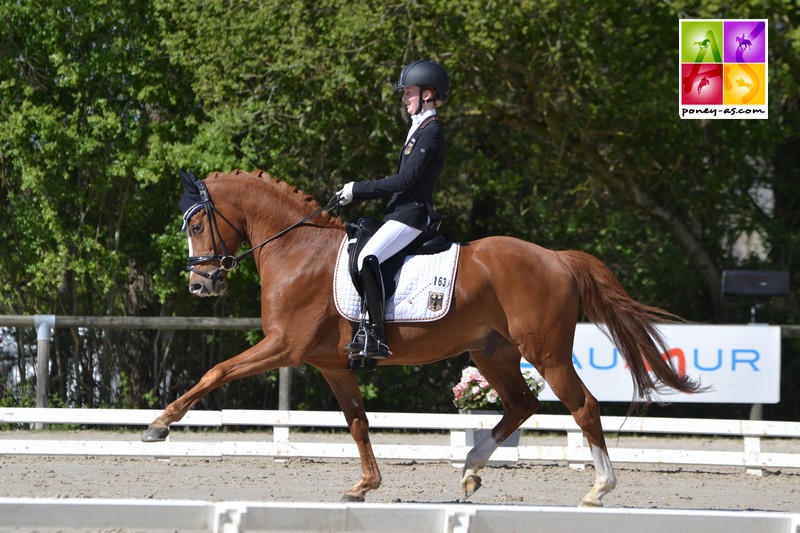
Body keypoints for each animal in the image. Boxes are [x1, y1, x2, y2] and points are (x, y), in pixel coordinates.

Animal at [141, 168, 704, 504]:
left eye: (196, 225)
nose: (200, 284)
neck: (296, 251)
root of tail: (557, 258)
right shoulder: (333, 365)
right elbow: (358, 424)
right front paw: (364, 485)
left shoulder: (284, 346)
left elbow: (216, 371)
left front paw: (160, 425)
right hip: (492, 352)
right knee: (521, 405)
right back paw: (470, 471)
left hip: (544, 352)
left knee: (582, 406)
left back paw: (599, 488)